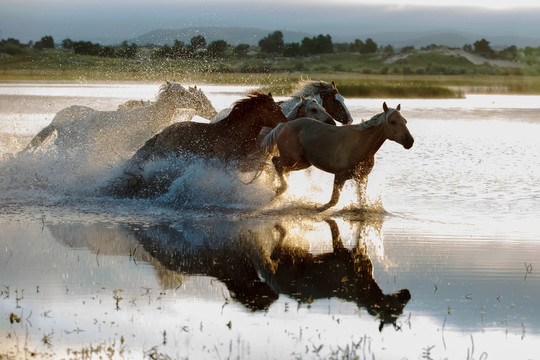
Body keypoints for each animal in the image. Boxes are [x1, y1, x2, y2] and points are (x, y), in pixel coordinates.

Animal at [262, 102, 414, 211]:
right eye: (392, 121)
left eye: (405, 121)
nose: (409, 141)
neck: (361, 144)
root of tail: (283, 125)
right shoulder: (340, 175)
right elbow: (333, 201)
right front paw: (318, 207)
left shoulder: (362, 177)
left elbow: (362, 201)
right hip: (291, 158)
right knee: (276, 162)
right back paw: (280, 189)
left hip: (302, 162)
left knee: (281, 168)